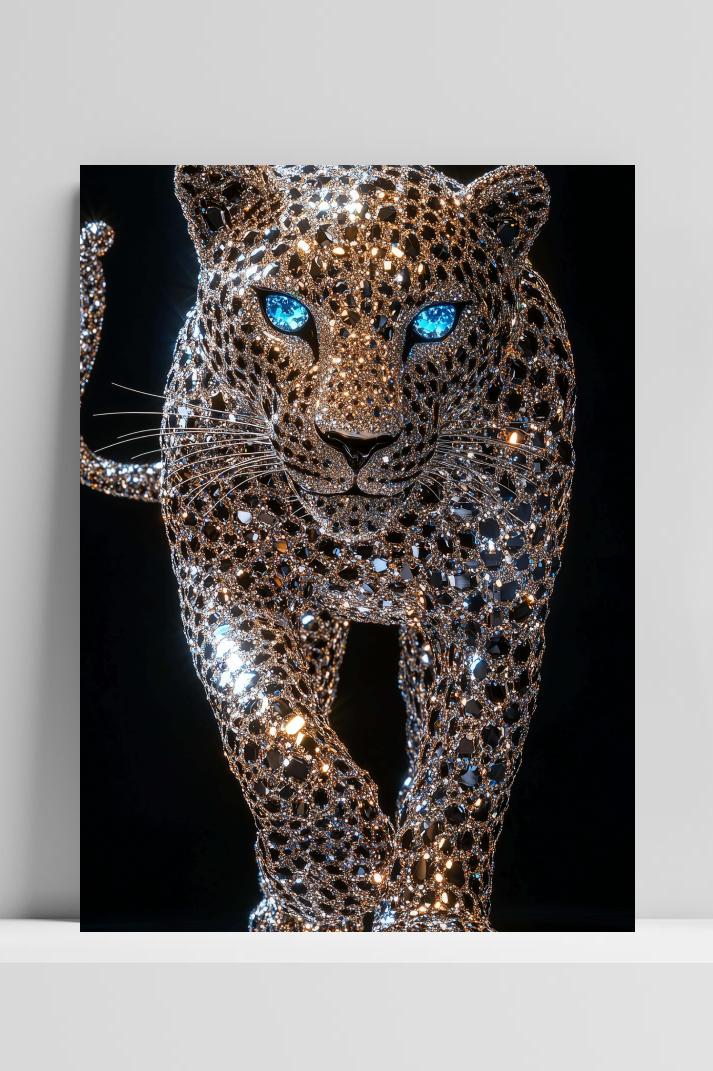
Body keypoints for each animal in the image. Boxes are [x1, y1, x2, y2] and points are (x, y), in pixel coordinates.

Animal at [80, 164, 575, 931]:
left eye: (436, 321)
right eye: (285, 312)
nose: (356, 444)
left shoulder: (498, 598)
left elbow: (469, 756)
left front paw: (432, 909)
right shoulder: (222, 569)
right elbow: (262, 719)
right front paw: (336, 871)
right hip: (311, 618)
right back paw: (290, 900)